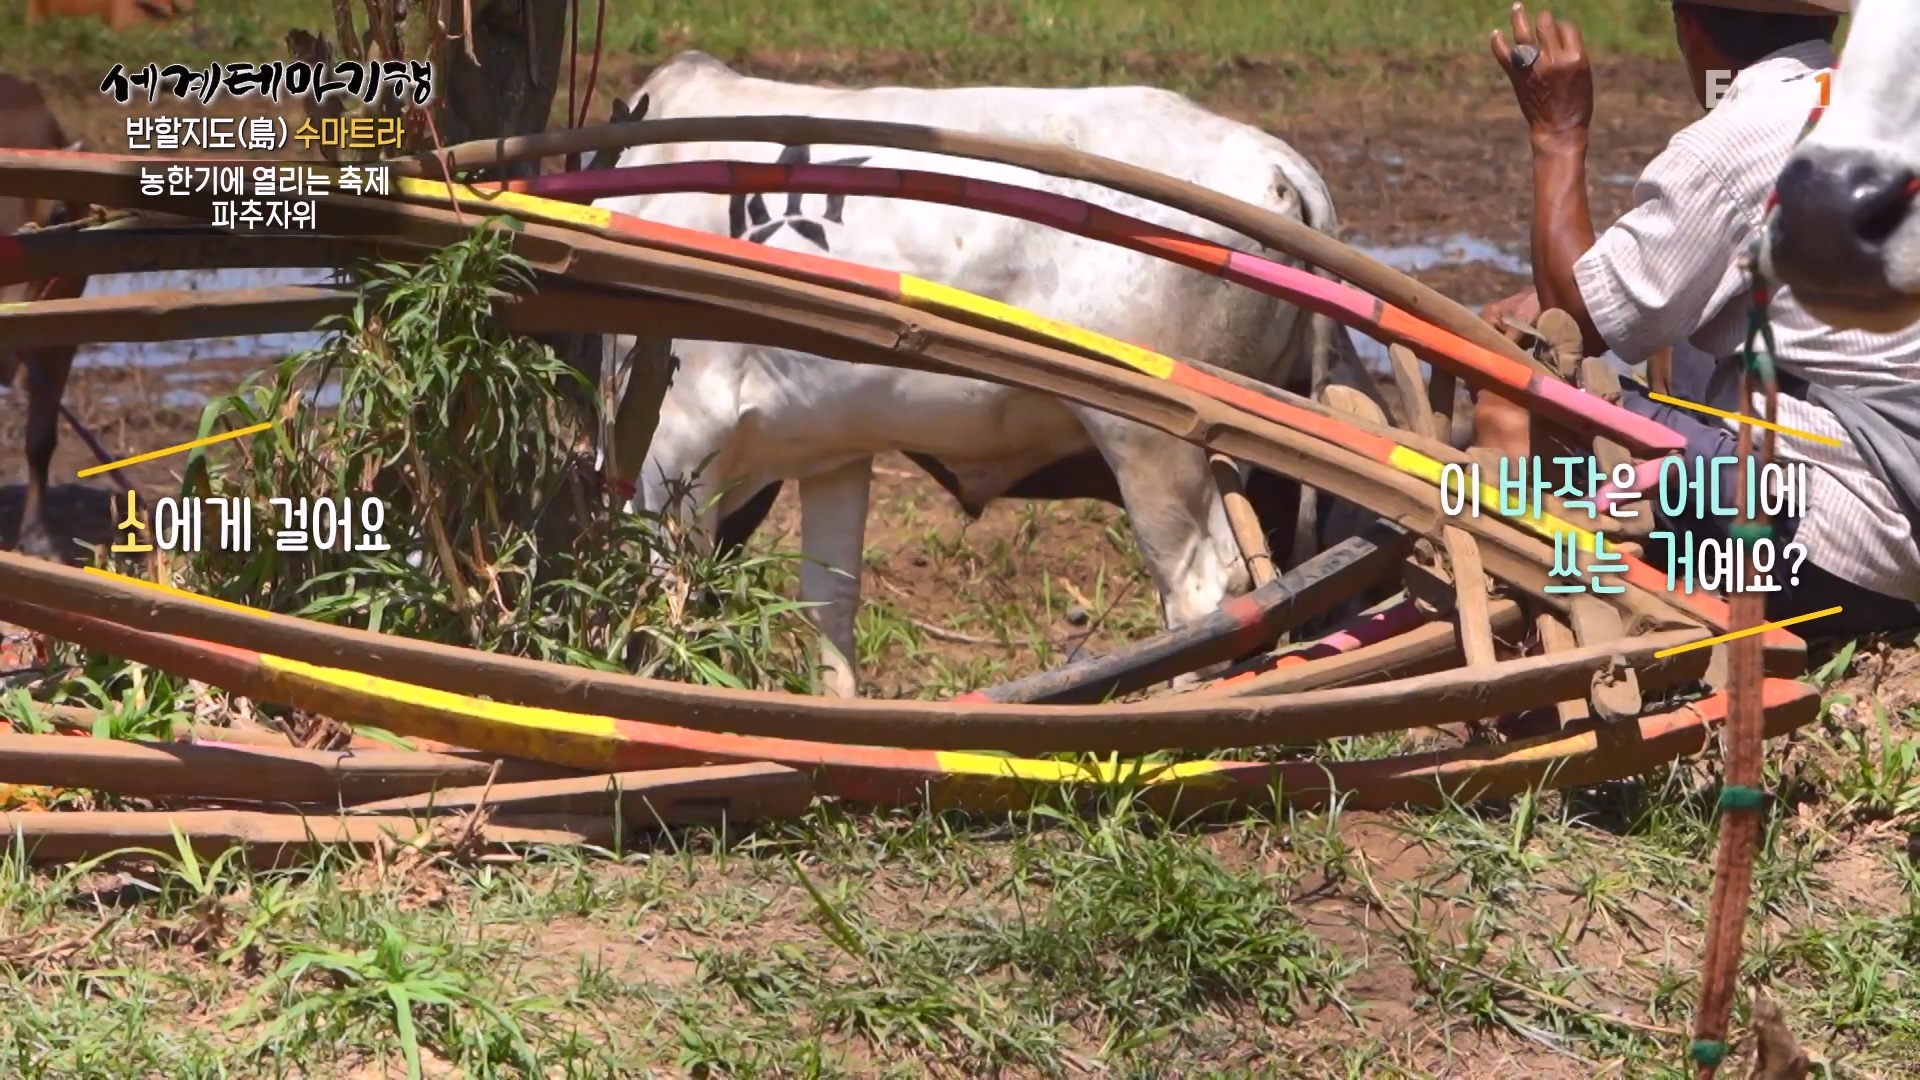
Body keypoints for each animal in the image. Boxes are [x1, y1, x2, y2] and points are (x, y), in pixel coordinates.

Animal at [591, 50, 1359, 691]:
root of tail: (1275, 160)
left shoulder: (676, 444)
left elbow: (668, 603)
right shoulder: (831, 453)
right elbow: (828, 605)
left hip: (1151, 442)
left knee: (1202, 588)